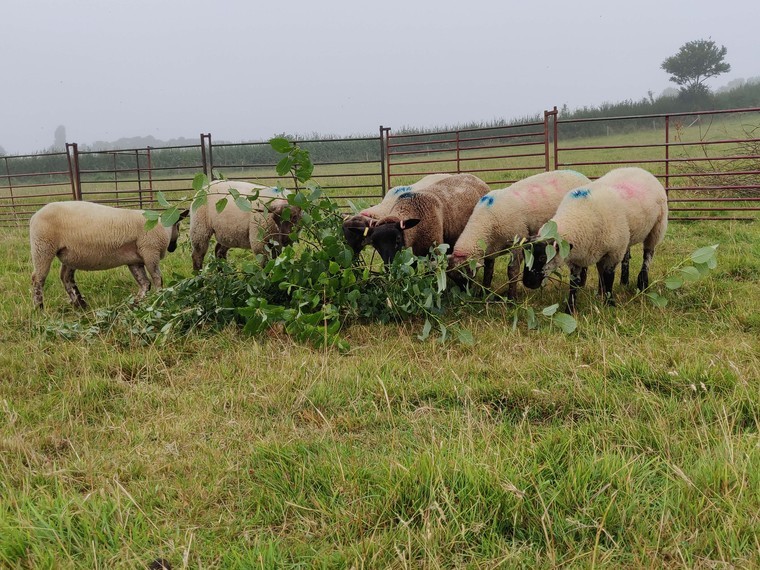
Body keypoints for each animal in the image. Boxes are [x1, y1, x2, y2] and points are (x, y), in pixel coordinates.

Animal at [31, 199, 189, 308]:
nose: (173, 248)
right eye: (178, 225)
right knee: (38, 279)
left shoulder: (135, 260)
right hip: (43, 247)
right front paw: (158, 300)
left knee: (66, 278)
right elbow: (157, 280)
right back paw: (39, 307)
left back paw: (80, 304)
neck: (163, 227)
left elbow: (144, 283)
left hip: (70, 254)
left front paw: (136, 302)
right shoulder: (151, 253)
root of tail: (34, 216)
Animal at [448, 168, 592, 298]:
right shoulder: (490, 249)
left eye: (465, 277)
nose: (462, 298)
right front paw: (485, 292)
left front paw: (512, 298)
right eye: (453, 278)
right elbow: (488, 270)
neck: (484, 221)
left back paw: (581, 284)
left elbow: (512, 270)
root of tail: (581, 175)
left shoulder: (517, 241)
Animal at [520, 166, 668, 312]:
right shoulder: (578, 259)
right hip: (626, 236)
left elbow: (608, 277)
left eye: (542, 257)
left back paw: (642, 284)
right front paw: (570, 309)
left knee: (647, 255)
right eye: (524, 255)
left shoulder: (613, 252)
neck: (578, 216)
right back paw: (623, 282)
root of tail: (638, 168)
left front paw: (610, 304)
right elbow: (574, 283)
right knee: (626, 256)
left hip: (656, 228)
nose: (527, 283)